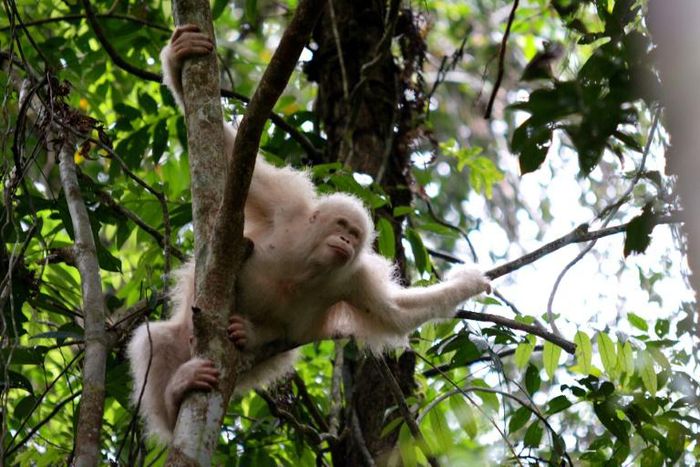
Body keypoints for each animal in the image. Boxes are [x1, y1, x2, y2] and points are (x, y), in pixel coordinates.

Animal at [127, 25, 491, 444]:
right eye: (342, 227)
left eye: (354, 235)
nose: (346, 241)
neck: (306, 260)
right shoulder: (286, 204)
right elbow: (233, 155)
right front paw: (178, 60)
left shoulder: (355, 279)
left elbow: (396, 312)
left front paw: (468, 284)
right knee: (155, 339)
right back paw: (174, 402)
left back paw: (244, 337)